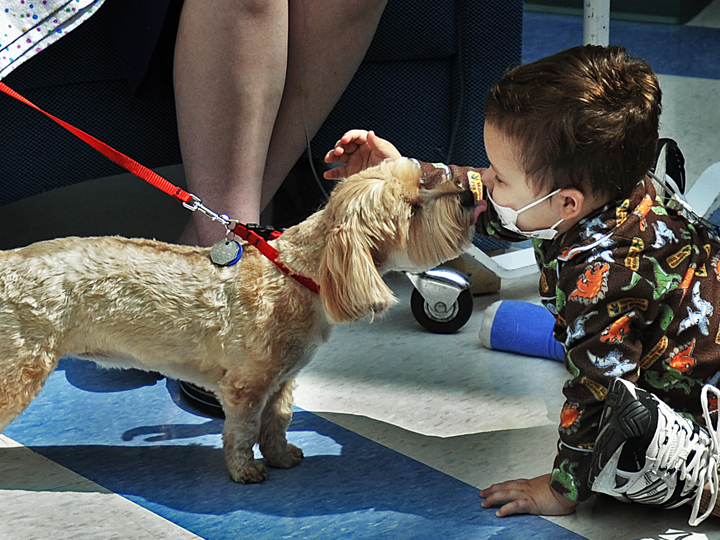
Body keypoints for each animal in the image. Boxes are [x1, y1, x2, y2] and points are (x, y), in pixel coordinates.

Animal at [0, 158, 478, 484]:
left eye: (423, 179)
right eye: (412, 209)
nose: (468, 195)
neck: (295, 273)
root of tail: (7, 261)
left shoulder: (282, 380)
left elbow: (278, 421)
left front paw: (280, 456)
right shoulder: (246, 386)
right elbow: (243, 430)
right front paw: (245, 469)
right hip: (18, 370)